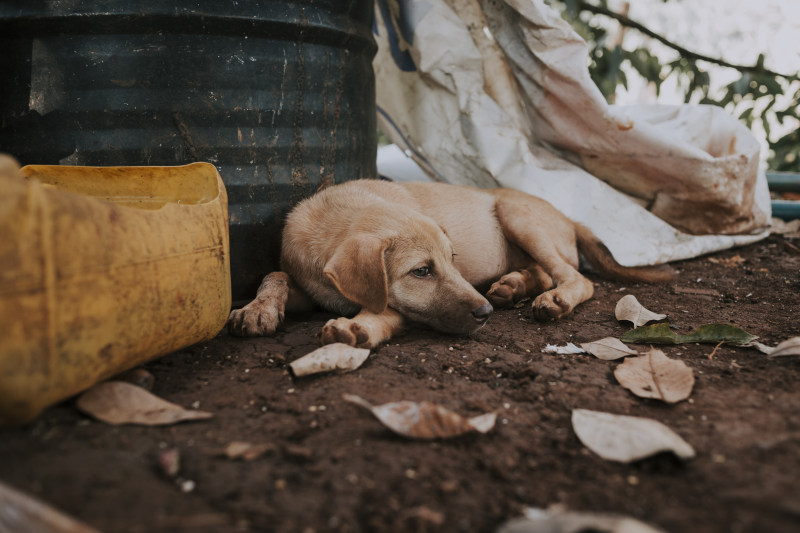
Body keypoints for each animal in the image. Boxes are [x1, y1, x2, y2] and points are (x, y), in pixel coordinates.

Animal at [228, 179, 672, 348]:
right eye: (422, 271)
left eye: (452, 259)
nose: (485, 313)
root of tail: (568, 217)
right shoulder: (310, 285)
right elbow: (275, 273)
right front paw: (258, 308)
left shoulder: (396, 307)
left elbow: (383, 311)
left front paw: (357, 327)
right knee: (547, 271)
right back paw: (513, 285)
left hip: (517, 215)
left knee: (576, 277)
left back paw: (552, 299)